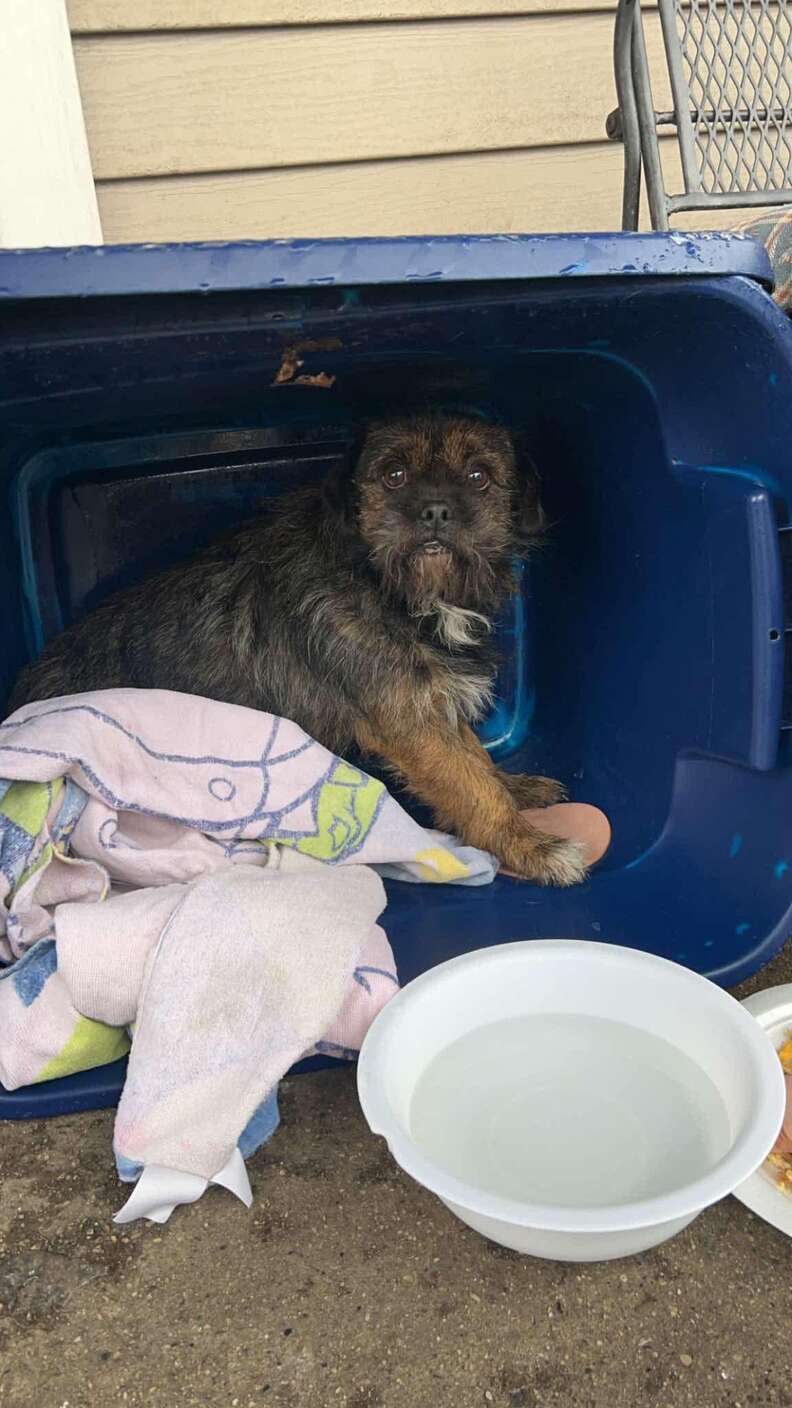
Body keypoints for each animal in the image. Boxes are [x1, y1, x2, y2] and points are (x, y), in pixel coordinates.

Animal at [9, 411, 583, 884]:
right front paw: (530, 846)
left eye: (478, 476)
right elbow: (471, 787)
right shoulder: (409, 723)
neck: (392, 589)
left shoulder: (426, 701)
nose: (436, 511)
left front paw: (515, 789)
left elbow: (477, 760)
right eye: (393, 474)